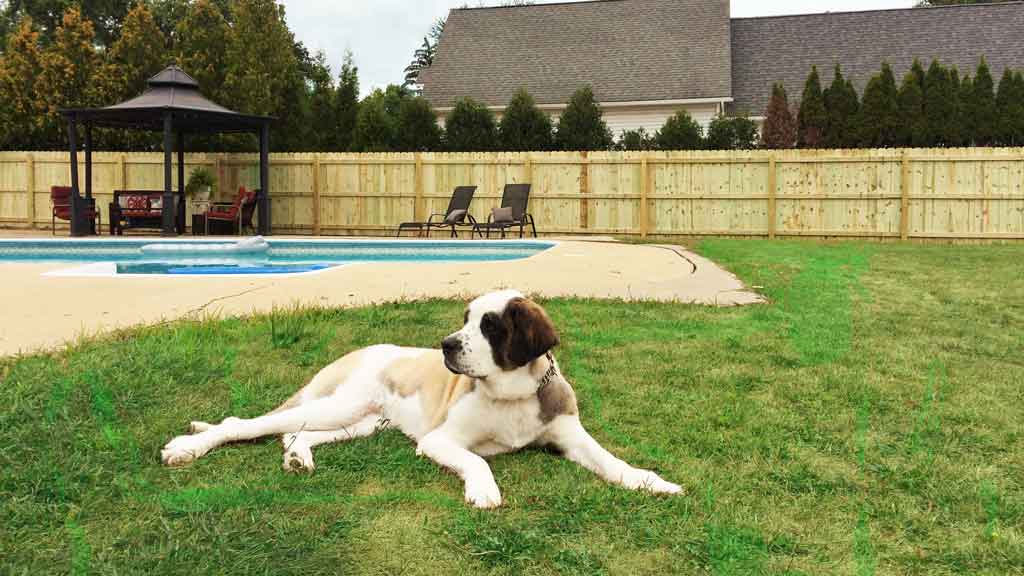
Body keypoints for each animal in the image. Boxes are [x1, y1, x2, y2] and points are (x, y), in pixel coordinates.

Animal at [161, 289, 679, 504]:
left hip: (362, 422)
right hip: (341, 402)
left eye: (490, 325)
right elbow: (478, 459)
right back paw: (187, 447)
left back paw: (298, 457)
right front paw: (484, 490)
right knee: (246, 425)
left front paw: (651, 482)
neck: (511, 394)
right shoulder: (439, 440)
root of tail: (360, 350)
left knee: (296, 432)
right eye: (465, 318)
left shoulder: (571, 436)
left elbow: (612, 461)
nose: (447, 345)